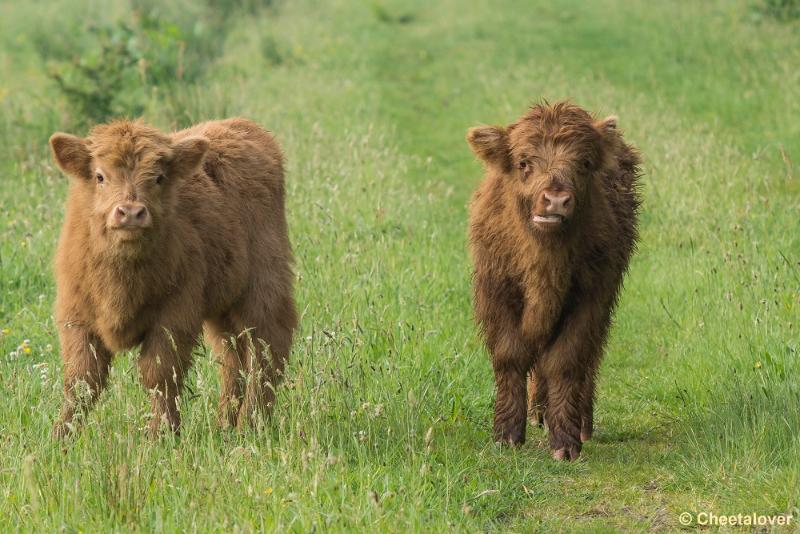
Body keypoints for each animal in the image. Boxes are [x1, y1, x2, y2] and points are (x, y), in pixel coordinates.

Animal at [48, 118, 296, 440]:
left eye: (159, 178)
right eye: (100, 176)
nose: (130, 212)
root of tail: (243, 125)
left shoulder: (174, 316)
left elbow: (160, 375)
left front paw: (160, 436)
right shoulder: (76, 317)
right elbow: (81, 380)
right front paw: (60, 437)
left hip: (264, 284)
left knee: (267, 349)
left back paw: (252, 425)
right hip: (222, 306)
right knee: (232, 358)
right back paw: (225, 425)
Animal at [466, 102, 640, 462]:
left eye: (584, 163)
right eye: (523, 163)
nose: (556, 199)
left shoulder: (591, 298)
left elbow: (566, 361)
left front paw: (565, 442)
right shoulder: (494, 292)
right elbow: (510, 356)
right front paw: (506, 435)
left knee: (588, 361)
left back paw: (581, 423)